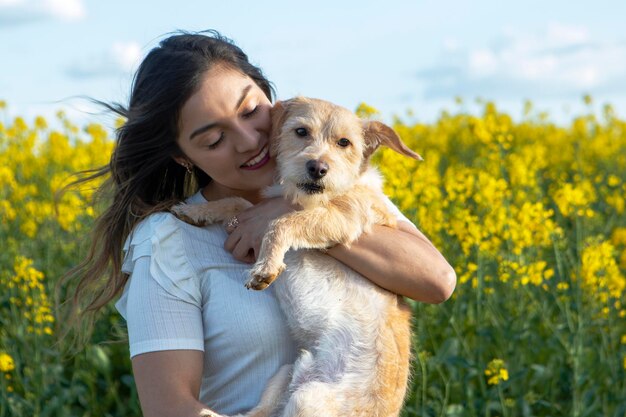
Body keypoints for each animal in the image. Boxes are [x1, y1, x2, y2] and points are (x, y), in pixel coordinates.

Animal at [172, 96, 420, 416]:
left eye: (344, 142)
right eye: (301, 131)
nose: (317, 168)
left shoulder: (342, 218)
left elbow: (281, 223)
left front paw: (266, 267)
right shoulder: (262, 207)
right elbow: (237, 202)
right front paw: (196, 211)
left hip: (308, 398)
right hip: (285, 374)